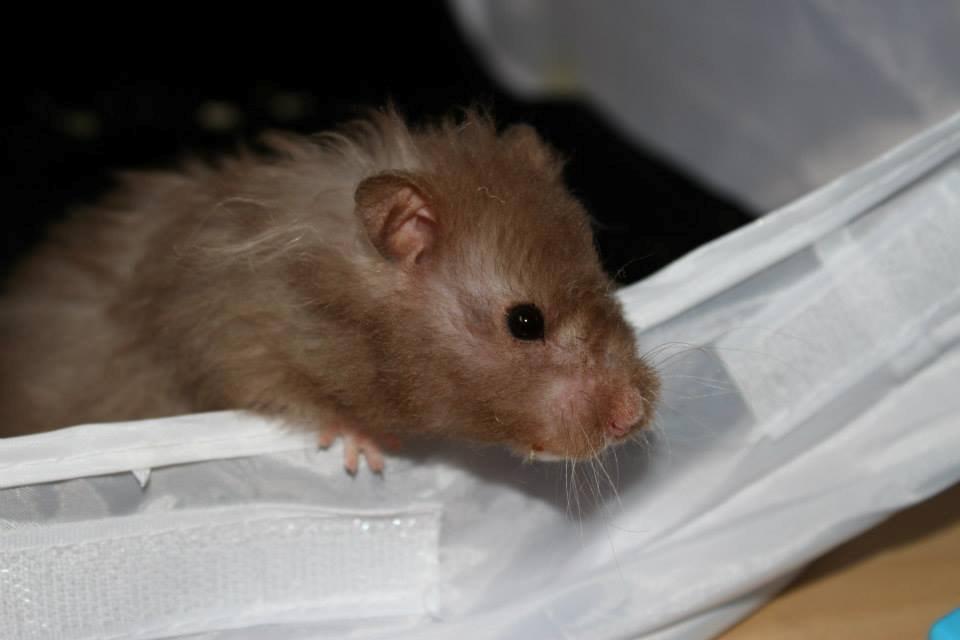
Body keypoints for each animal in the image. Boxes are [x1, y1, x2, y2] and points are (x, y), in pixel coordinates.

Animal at [0, 107, 660, 473]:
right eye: (525, 322)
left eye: (606, 277)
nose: (634, 416)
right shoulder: (231, 339)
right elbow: (288, 392)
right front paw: (366, 454)